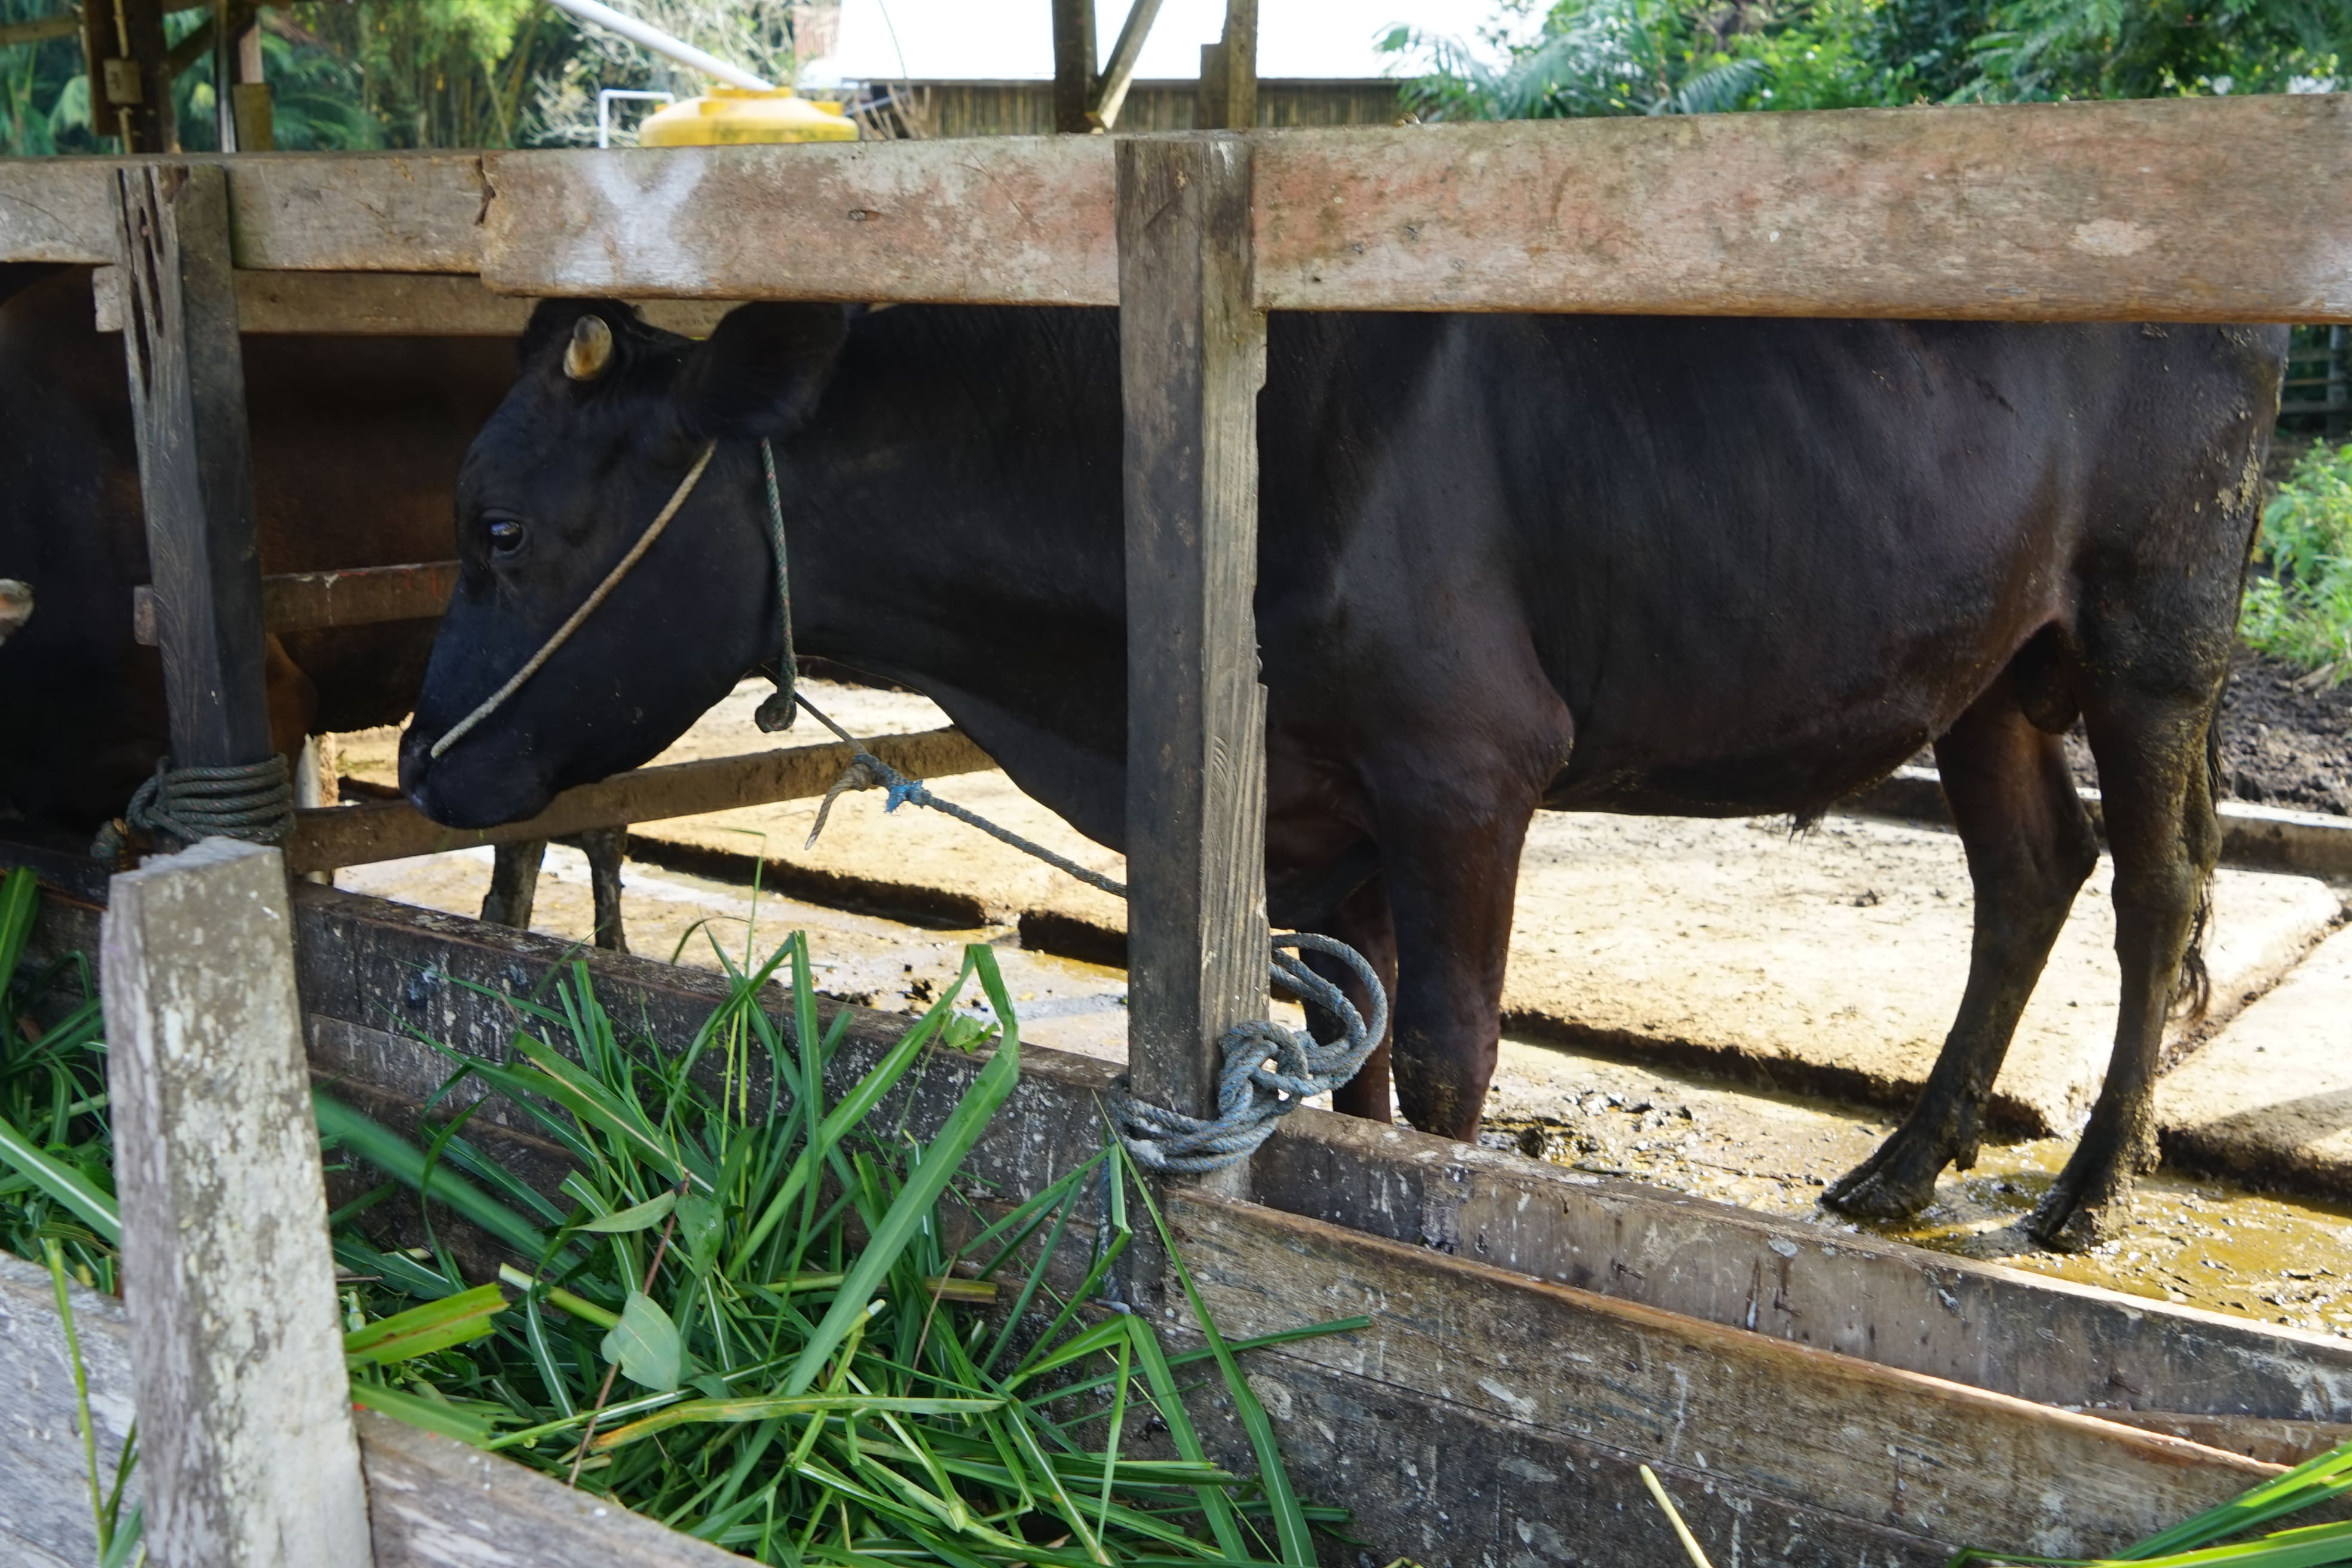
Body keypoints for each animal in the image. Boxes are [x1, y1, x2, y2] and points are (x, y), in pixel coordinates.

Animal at [400, 301, 2277, 1241]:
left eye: (498, 526)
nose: (419, 760)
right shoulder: (1325, 808)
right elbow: (1347, 1053)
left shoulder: (1462, 761)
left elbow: (1444, 1062)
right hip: (1989, 672)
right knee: (2030, 871)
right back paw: (1902, 1166)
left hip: (2153, 627)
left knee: (2160, 889)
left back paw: (2085, 1193)